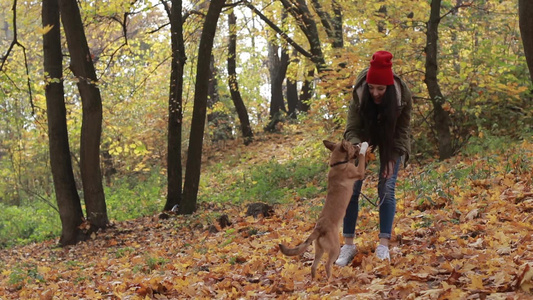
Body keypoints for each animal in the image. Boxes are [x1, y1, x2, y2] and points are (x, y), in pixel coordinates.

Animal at [276, 139, 368, 280]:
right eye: (352, 145)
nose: (357, 143)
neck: (337, 164)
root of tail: (318, 229)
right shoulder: (359, 172)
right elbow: (362, 158)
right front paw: (364, 147)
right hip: (335, 248)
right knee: (327, 264)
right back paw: (331, 280)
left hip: (319, 249)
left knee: (313, 266)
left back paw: (315, 281)